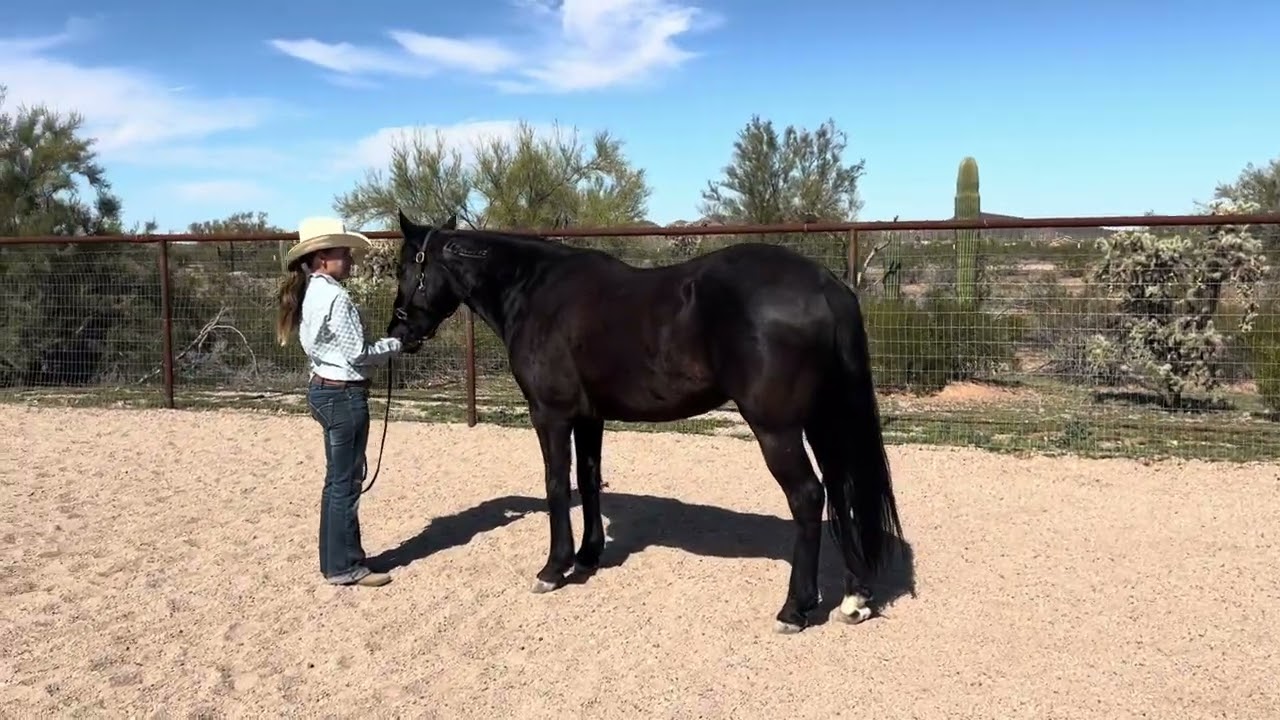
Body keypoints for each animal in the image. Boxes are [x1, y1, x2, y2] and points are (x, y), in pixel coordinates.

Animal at [387, 210, 906, 634]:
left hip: (776, 429)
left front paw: (553, 569)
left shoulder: (550, 415)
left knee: (808, 497)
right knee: (842, 490)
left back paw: (795, 609)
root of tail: (824, 284)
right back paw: (855, 598)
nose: (398, 332)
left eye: (405, 267)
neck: (533, 291)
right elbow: (589, 480)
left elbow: (556, 484)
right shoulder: (589, 417)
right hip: (823, 419)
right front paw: (588, 557)